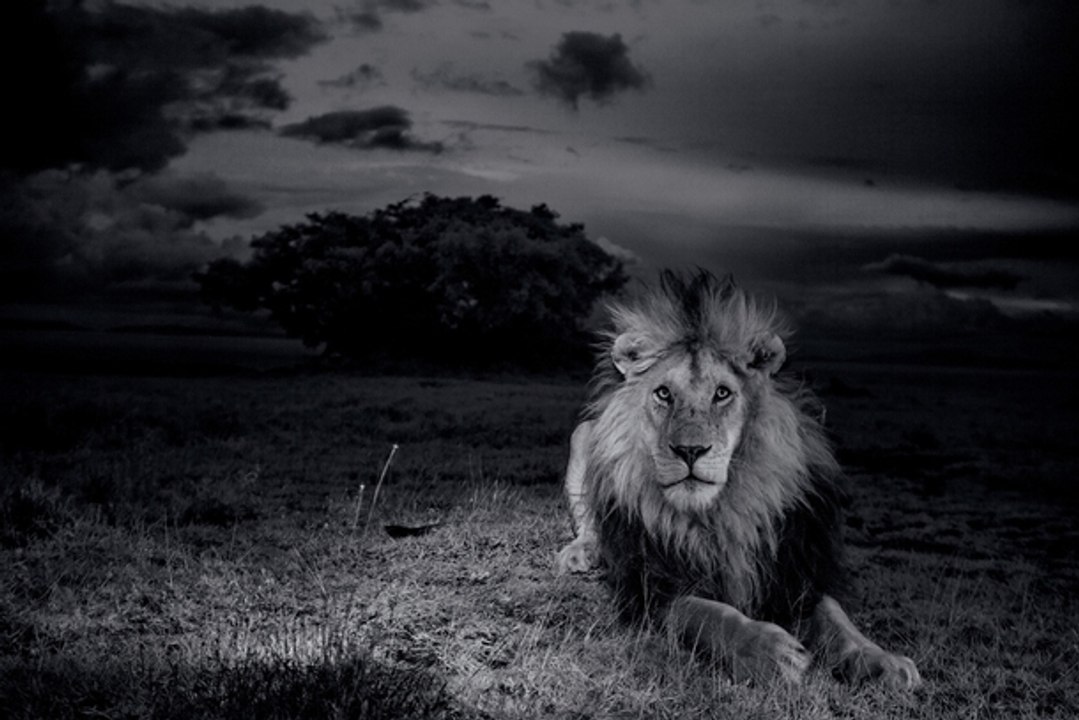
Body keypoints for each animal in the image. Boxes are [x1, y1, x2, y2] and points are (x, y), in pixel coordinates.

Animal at [556, 270, 921, 688]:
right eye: (663, 393)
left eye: (722, 393)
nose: (690, 450)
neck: (720, 512)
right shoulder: (651, 585)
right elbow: (706, 613)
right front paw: (769, 650)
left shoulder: (794, 566)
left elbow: (837, 618)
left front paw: (882, 660)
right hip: (584, 435)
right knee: (589, 524)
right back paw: (581, 552)